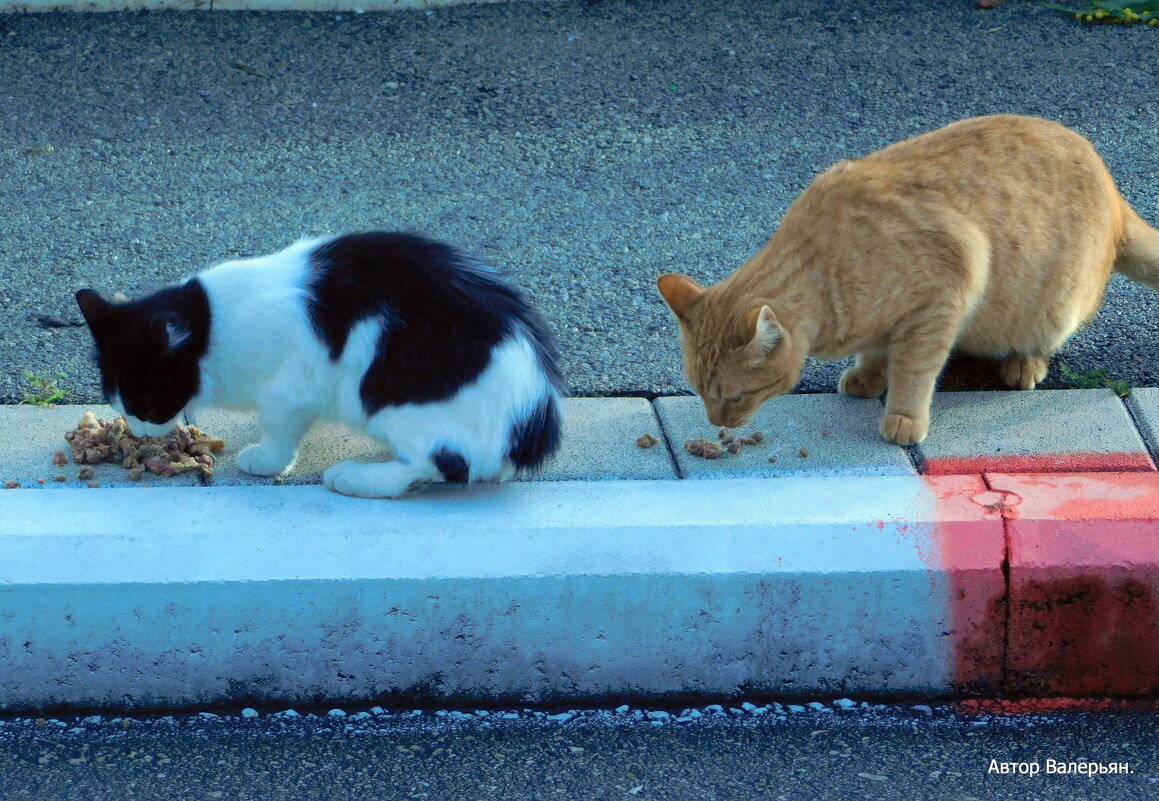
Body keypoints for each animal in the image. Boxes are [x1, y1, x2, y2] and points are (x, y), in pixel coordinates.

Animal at [74, 228, 563, 498]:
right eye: (116, 403)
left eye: (144, 403)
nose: (138, 433)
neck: (210, 321)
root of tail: (535, 420)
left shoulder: (289, 391)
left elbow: (278, 428)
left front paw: (268, 459)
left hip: (399, 402)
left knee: (442, 465)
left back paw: (354, 478)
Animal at [658, 115, 1159, 445]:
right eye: (698, 392)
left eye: (735, 396)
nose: (714, 422)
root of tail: (1113, 189)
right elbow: (876, 352)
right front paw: (866, 374)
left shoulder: (941, 299)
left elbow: (914, 370)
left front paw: (902, 416)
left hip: (1056, 309)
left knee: (1042, 341)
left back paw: (1024, 363)